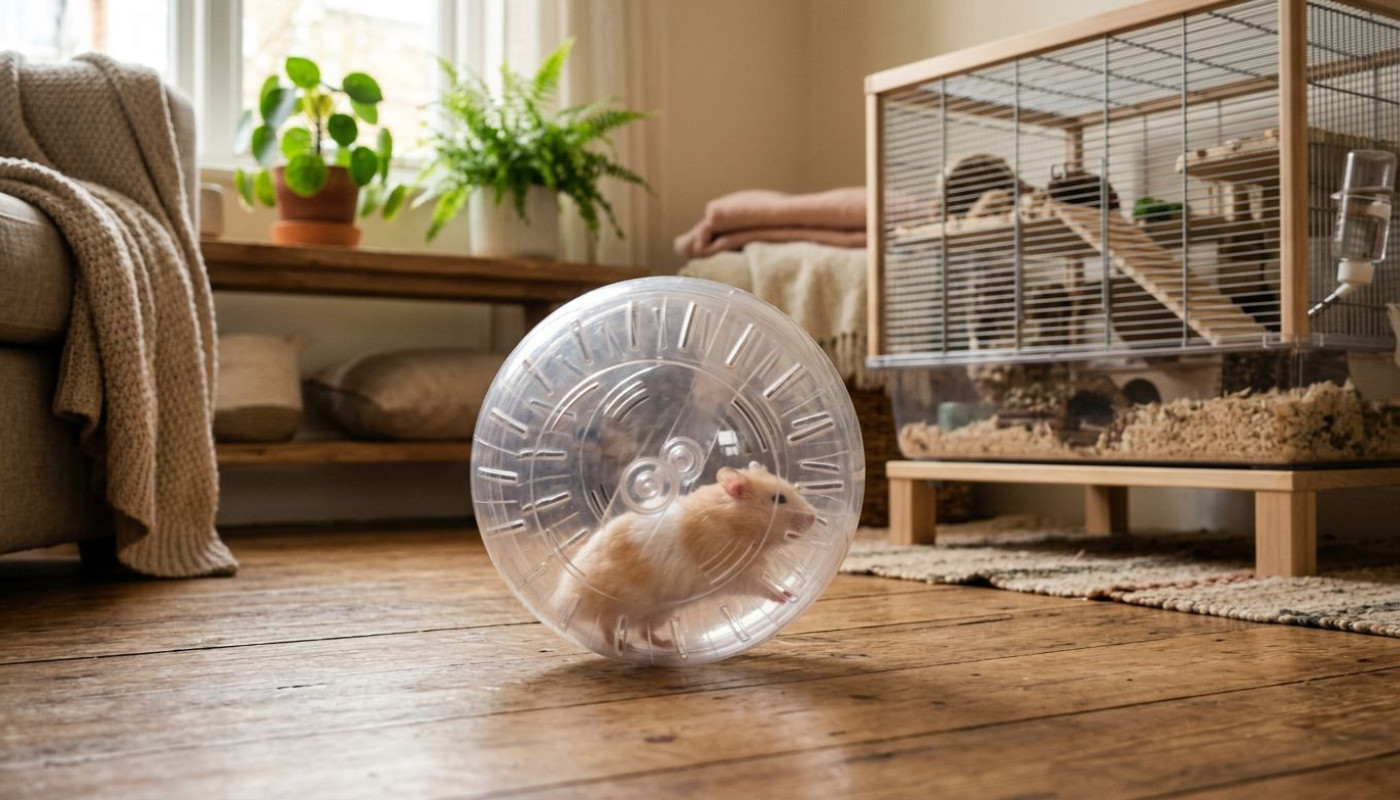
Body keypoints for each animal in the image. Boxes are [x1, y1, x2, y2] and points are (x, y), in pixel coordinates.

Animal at [553, 462, 817, 654]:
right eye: (779, 499)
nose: (814, 517)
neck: (735, 523)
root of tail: (562, 601)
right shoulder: (733, 573)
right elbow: (763, 587)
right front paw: (787, 596)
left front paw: (790, 593)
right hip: (618, 608)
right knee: (608, 630)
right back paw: (625, 646)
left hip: (658, 613)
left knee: (643, 632)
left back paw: (668, 644)